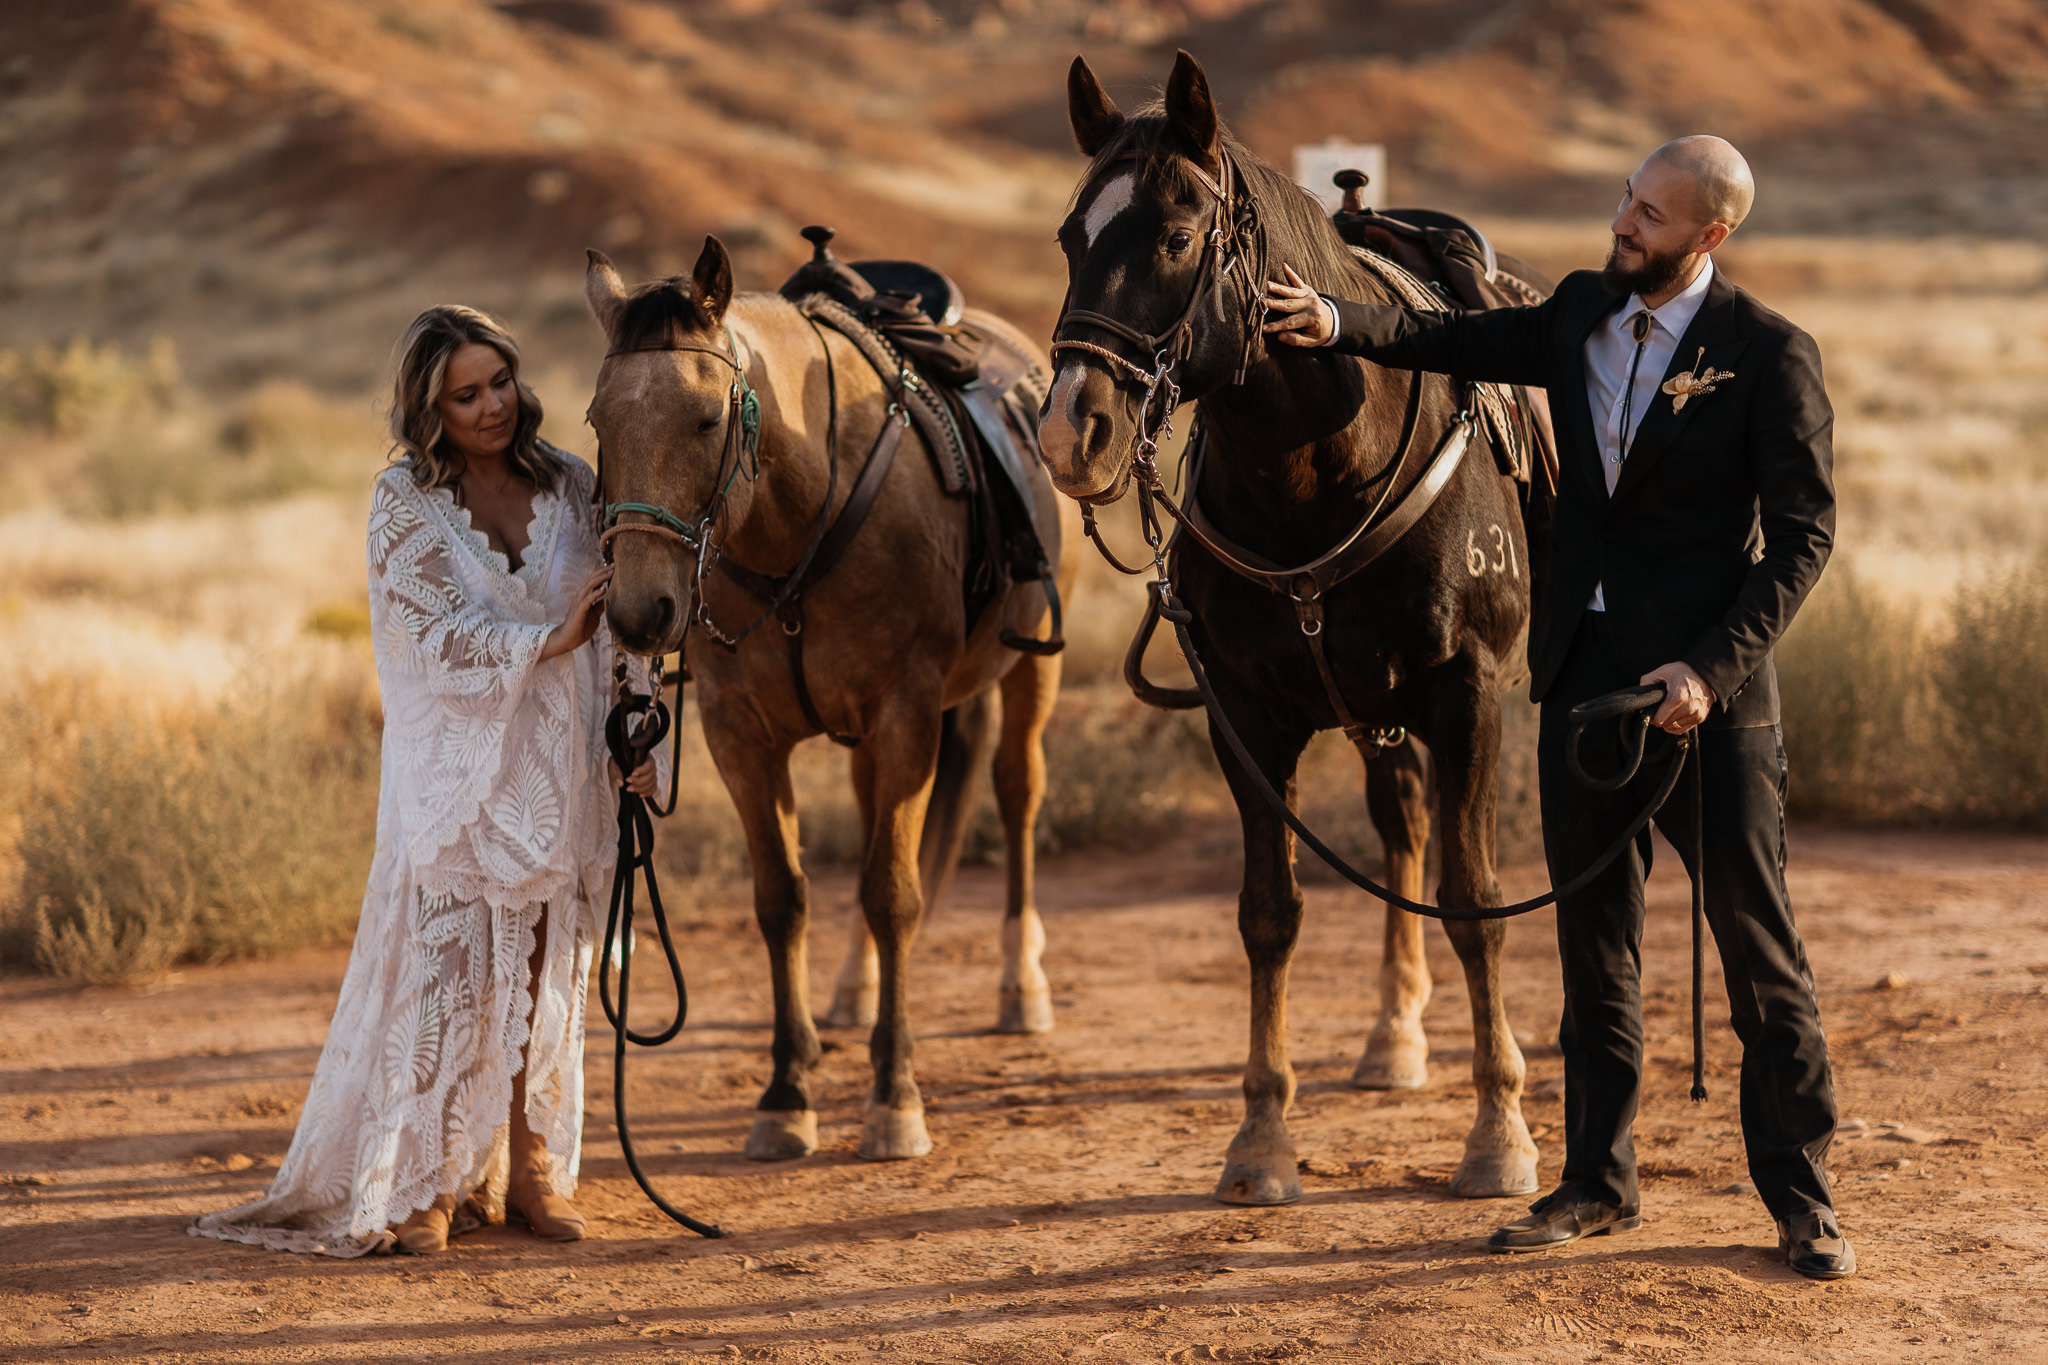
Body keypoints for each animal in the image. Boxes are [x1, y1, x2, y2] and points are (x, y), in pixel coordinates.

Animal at [585, 237, 1081, 1162]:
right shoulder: (740, 736)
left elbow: (895, 894)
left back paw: (1020, 985)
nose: (640, 611)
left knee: (1018, 797)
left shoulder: (908, 717)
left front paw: (895, 1096)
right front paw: (787, 1092)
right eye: (599, 421)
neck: (796, 524)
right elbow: (782, 899)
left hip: (1029, 675)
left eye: (705, 420)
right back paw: (854, 988)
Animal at [1040, 53, 1548, 1203]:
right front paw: (1262, 1137)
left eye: (1178, 236)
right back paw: (1393, 1035)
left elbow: (1473, 898)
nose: (1070, 429)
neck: (1318, 475)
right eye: (1070, 238)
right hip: (1371, 714)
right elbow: (1269, 912)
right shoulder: (1244, 718)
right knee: (1399, 823)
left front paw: (1499, 1130)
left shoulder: (1467, 698)